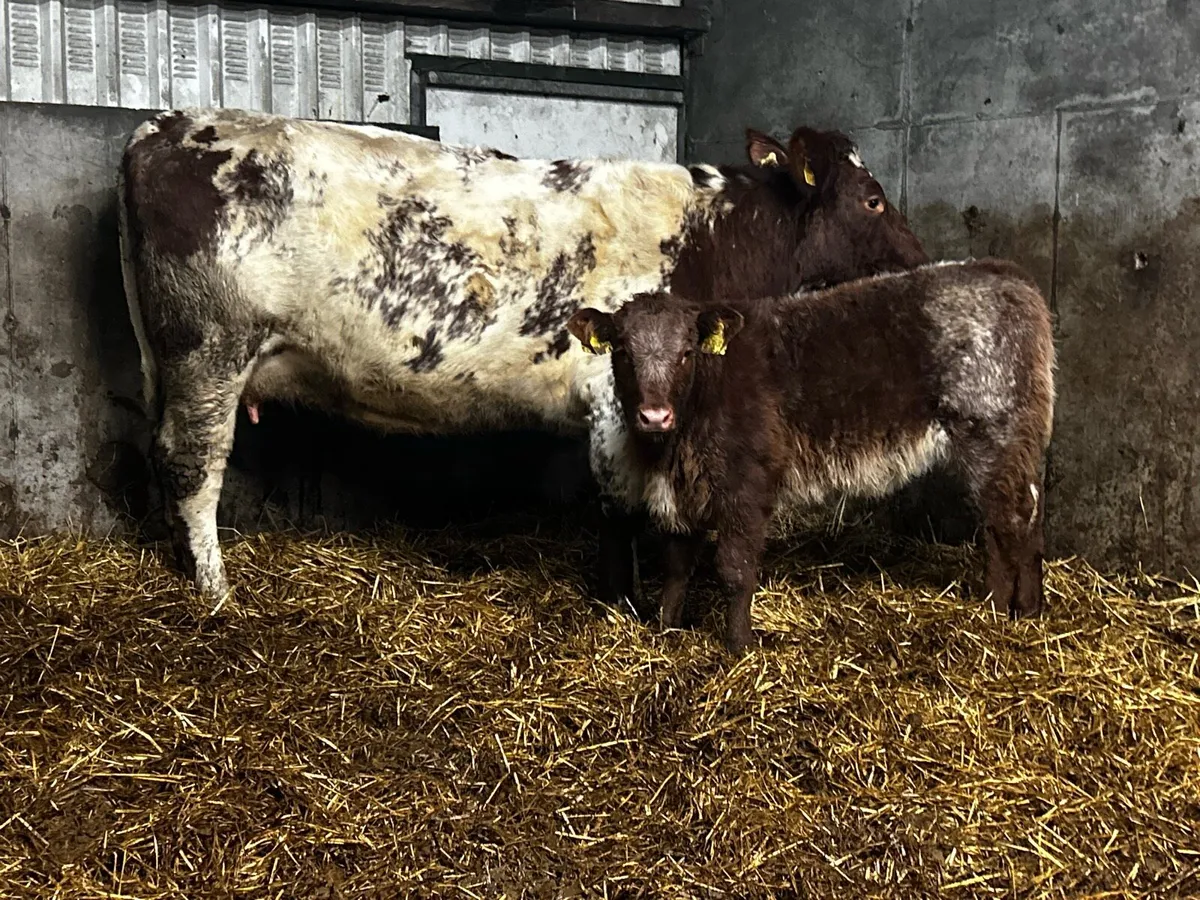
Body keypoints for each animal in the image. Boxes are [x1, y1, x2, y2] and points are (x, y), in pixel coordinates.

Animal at [116, 106, 929, 609]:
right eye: (873, 198)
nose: (920, 260)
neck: (711, 235)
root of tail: (165, 125)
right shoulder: (614, 394)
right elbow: (619, 506)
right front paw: (622, 600)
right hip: (208, 350)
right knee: (193, 465)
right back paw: (215, 591)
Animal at [566, 258, 1055, 653]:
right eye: (622, 352)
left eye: (687, 352)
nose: (654, 415)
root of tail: (1008, 275)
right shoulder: (683, 491)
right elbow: (676, 566)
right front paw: (667, 630)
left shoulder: (748, 485)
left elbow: (734, 568)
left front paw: (739, 646)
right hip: (1015, 446)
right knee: (1025, 519)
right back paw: (1027, 610)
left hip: (990, 432)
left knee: (1006, 521)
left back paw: (998, 611)